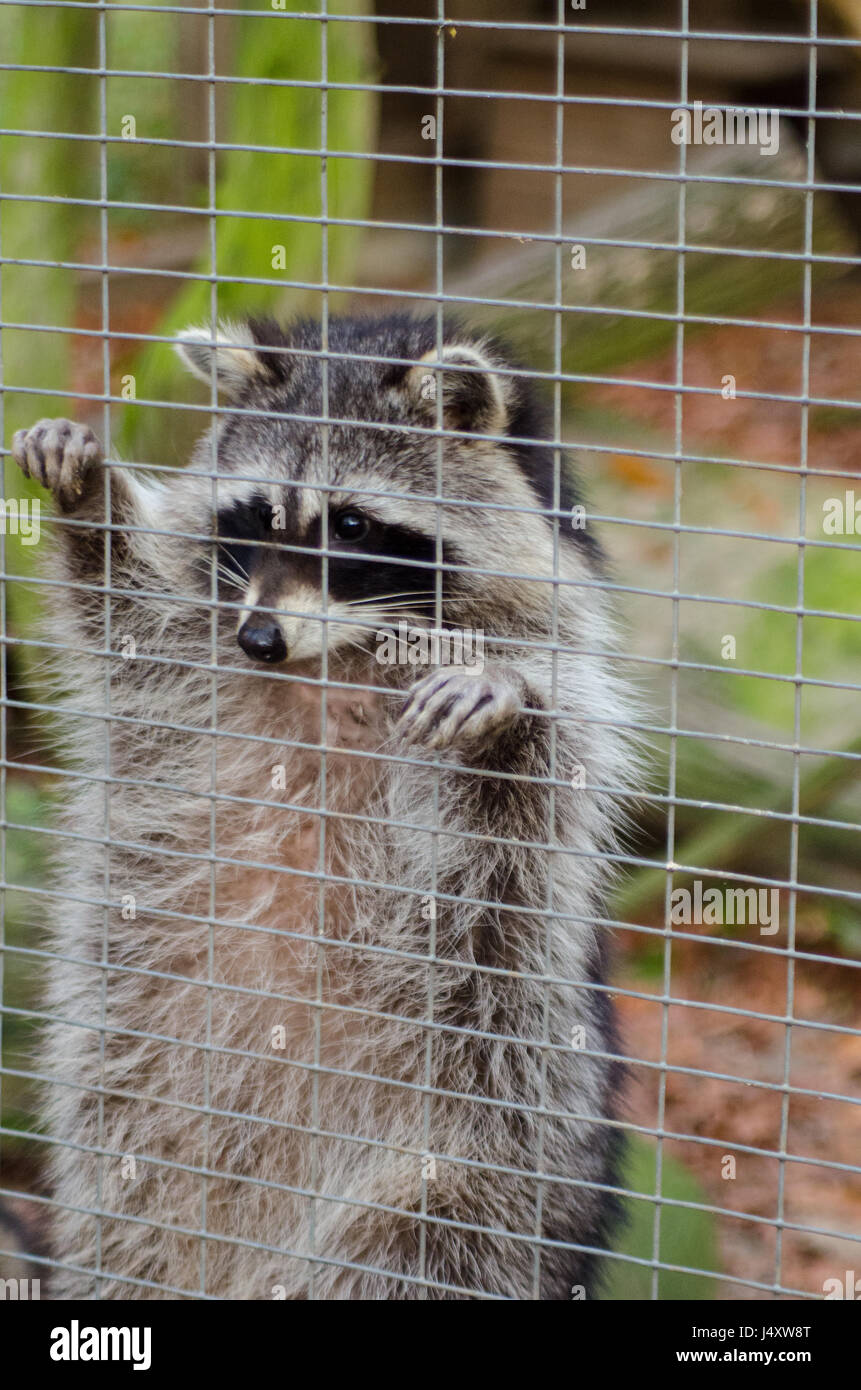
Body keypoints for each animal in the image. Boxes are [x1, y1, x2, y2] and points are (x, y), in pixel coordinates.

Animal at [10, 315, 637, 1301]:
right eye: (257, 514)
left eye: (351, 525)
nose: (262, 638)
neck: (333, 660)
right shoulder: (195, 652)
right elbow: (125, 617)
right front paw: (88, 501)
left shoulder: (564, 694)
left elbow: (522, 820)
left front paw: (502, 713)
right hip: (130, 1152)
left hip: (476, 1158)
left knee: (422, 1240)